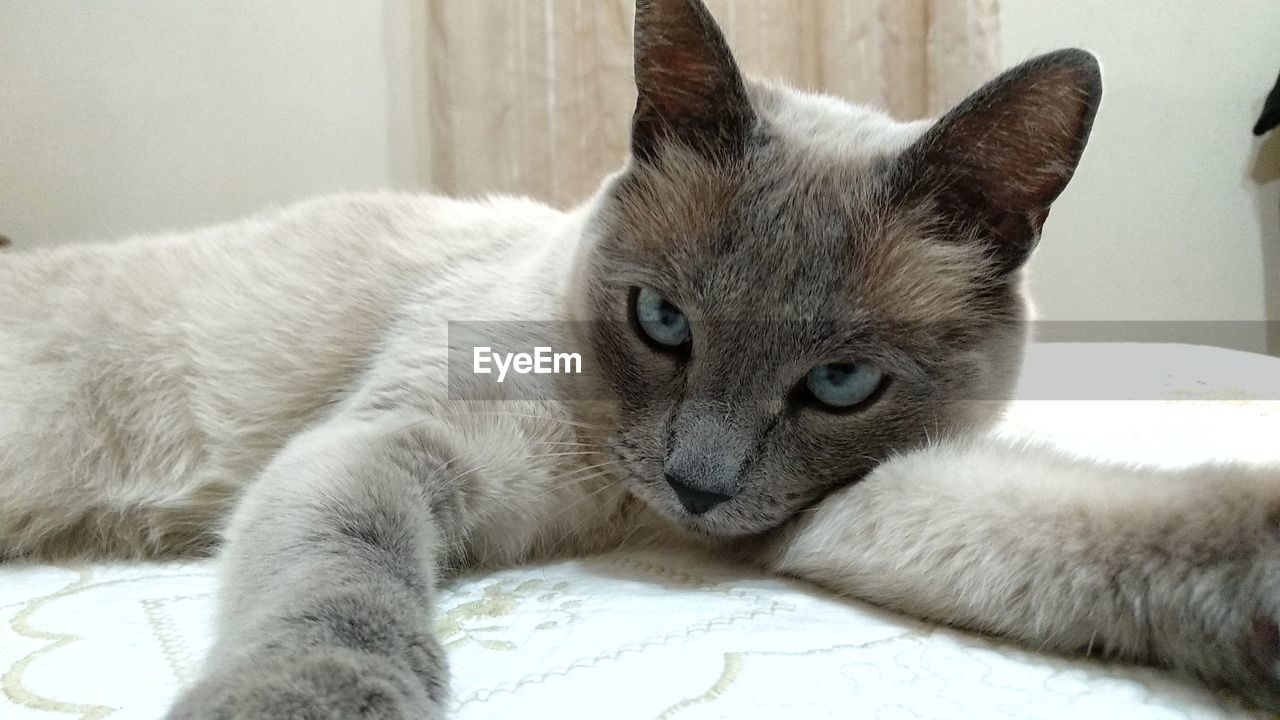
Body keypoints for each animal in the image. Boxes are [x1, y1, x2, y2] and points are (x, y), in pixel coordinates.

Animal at [2, 0, 1280, 712]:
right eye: (662, 321)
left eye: (838, 384)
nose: (693, 487)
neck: (625, 518)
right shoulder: (387, 447)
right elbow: (346, 590)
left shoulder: (818, 512)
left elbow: (1092, 529)